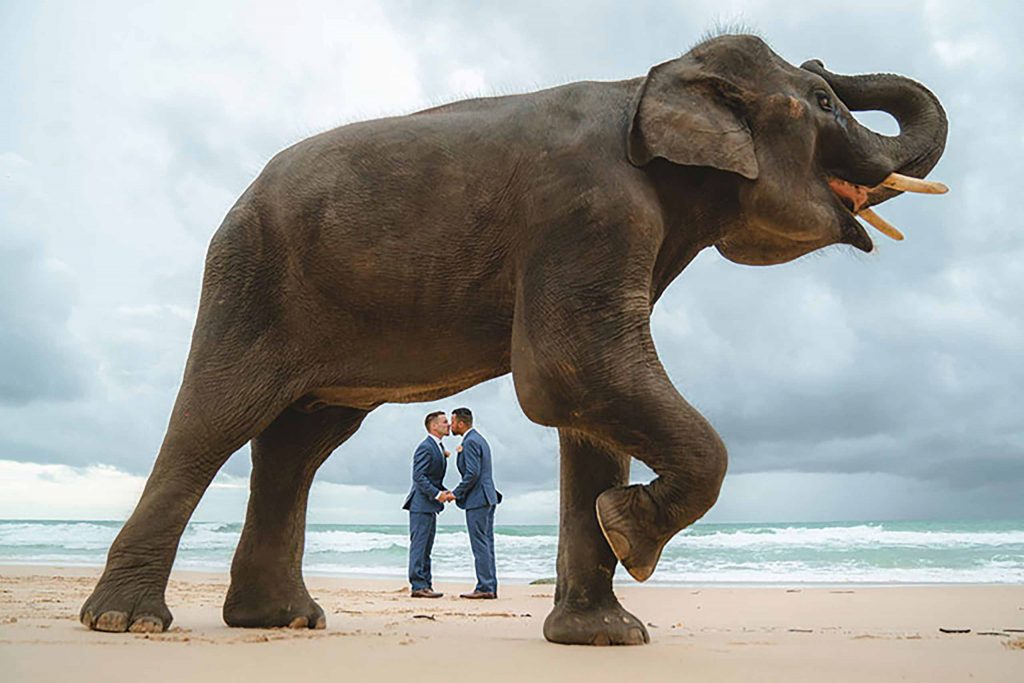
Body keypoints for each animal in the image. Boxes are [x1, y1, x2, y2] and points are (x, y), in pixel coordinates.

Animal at [80, 33, 948, 644]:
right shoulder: (590, 211)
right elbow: (567, 372)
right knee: (212, 422)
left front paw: (604, 628)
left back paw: (282, 620)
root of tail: (243, 194)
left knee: (295, 446)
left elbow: (590, 409)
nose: (824, 61)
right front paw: (630, 532)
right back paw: (127, 622)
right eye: (823, 101)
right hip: (249, 279)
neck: (648, 80)